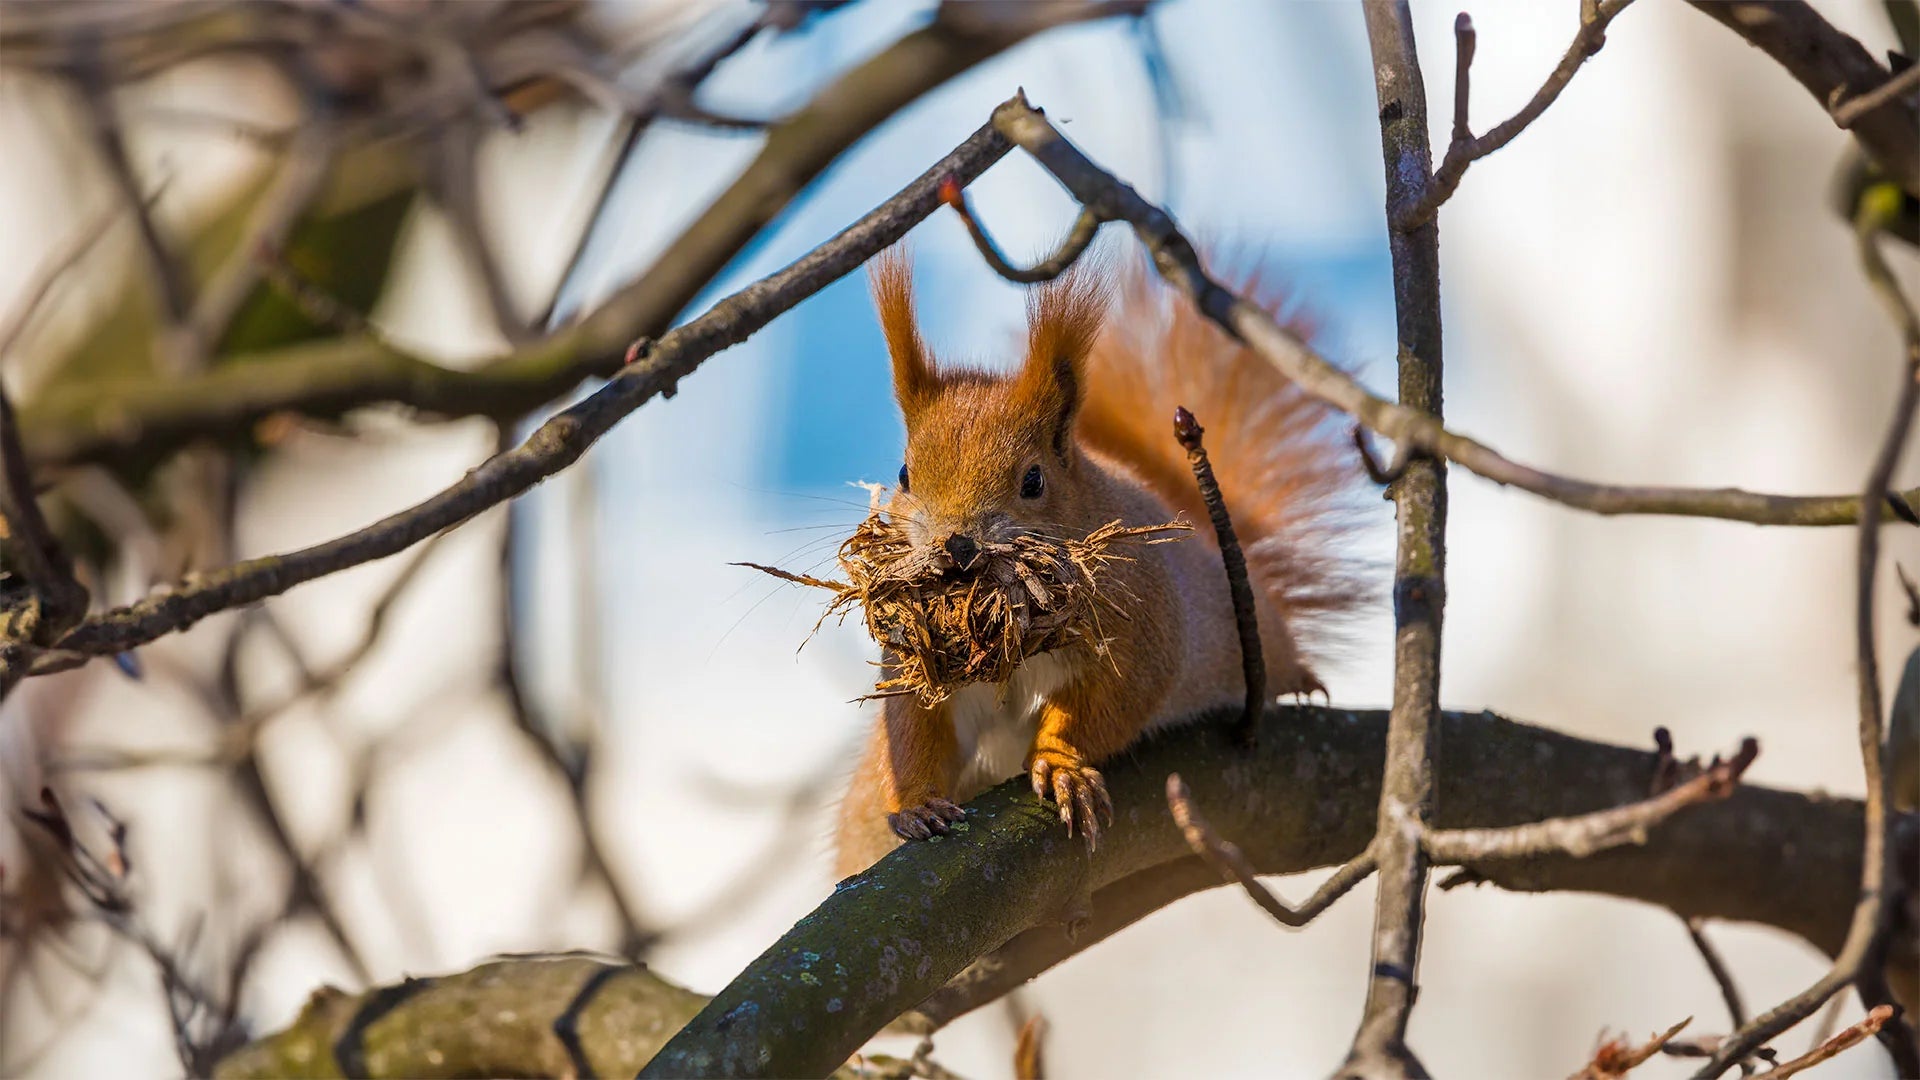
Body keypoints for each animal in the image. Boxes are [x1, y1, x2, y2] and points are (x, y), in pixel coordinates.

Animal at [833, 245, 1359, 876]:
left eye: (1033, 480)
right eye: (905, 475)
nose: (955, 547)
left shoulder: (1141, 626)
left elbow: (1110, 703)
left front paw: (1061, 766)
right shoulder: (921, 663)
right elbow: (915, 726)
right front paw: (916, 804)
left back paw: (1300, 681)